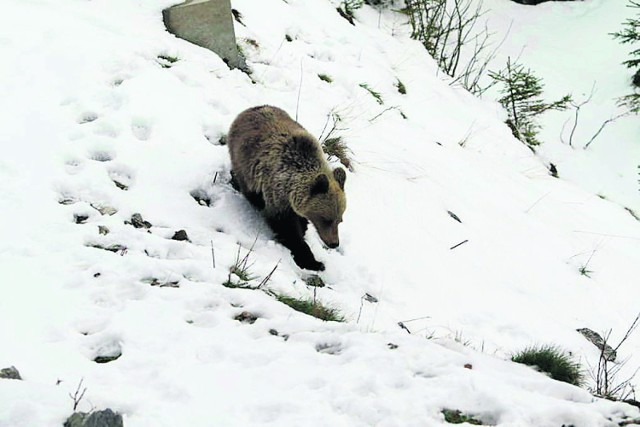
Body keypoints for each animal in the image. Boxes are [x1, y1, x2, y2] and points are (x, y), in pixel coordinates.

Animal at [225, 105, 344, 270]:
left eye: (340, 220)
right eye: (326, 219)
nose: (334, 243)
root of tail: (249, 110)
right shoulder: (277, 193)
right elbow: (286, 228)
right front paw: (313, 261)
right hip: (242, 159)